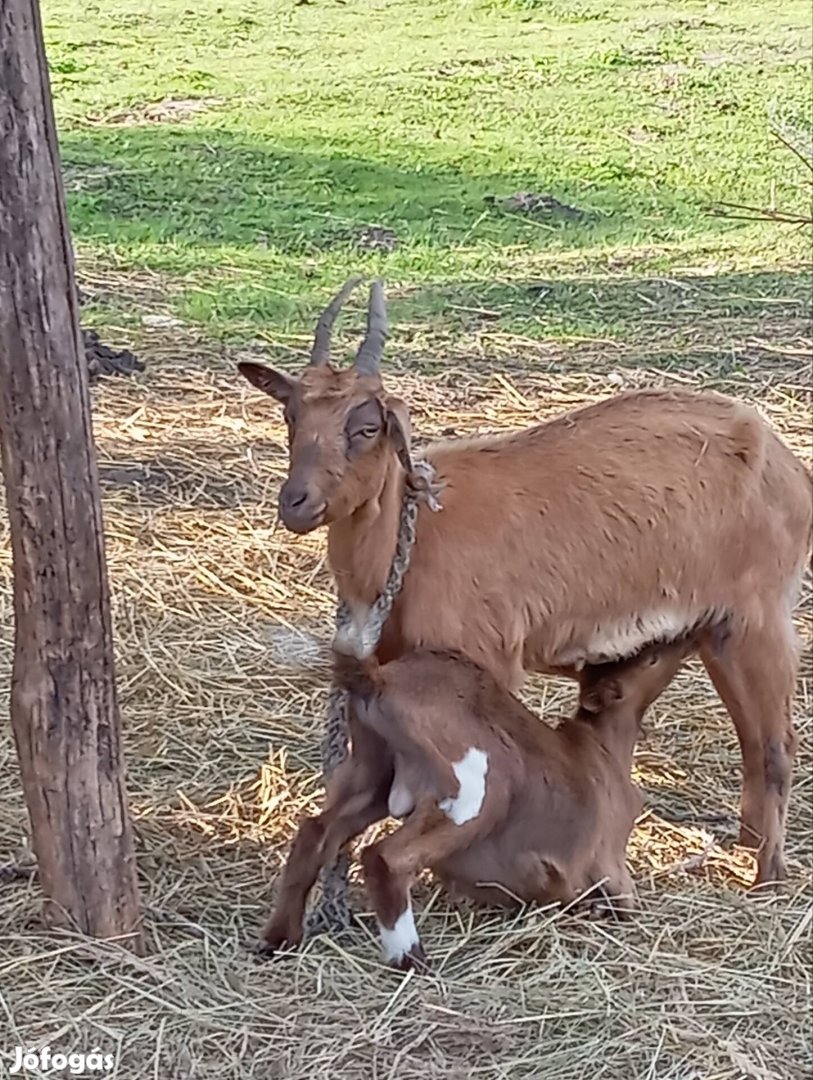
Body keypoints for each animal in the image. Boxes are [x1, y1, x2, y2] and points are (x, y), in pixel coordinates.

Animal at [237, 278, 807, 885]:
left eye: (367, 428)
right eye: (291, 417)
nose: (296, 502)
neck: (415, 541)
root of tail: (789, 467)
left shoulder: (487, 663)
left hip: (758, 619)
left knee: (775, 744)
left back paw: (766, 877)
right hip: (709, 630)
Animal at [263, 635, 695, 967]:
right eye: (652, 659)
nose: (680, 640)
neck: (599, 749)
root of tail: (379, 680)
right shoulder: (608, 858)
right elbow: (622, 900)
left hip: (373, 771)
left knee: (315, 832)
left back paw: (279, 939)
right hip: (473, 788)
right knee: (386, 857)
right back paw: (410, 958)